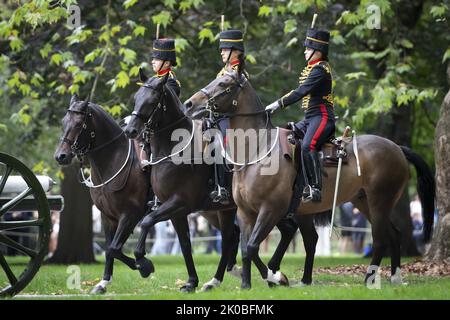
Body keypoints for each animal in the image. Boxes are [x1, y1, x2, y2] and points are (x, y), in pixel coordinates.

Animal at [185, 67, 434, 288]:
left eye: (224, 84)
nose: (189, 104)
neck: (256, 151)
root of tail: (397, 148)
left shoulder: (271, 210)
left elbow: (254, 246)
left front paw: (276, 277)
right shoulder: (245, 213)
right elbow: (247, 249)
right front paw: (247, 284)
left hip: (379, 201)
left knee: (381, 238)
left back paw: (370, 279)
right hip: (362, 202)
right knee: (392, 235)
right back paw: (394, 277)